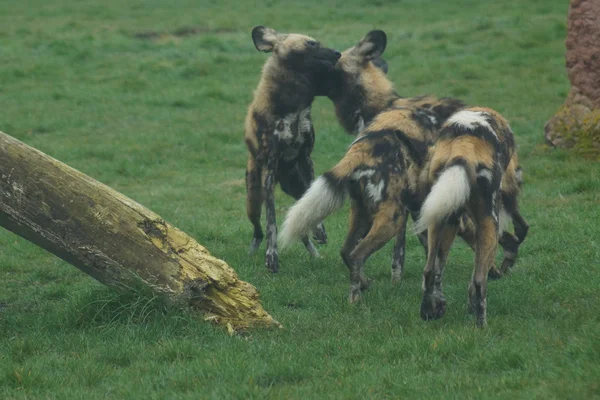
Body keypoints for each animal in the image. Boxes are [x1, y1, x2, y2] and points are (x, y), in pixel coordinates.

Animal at [243, 26, 338, 274]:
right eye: (311, 44)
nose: (337, 53)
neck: (293, 102)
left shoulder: (306, 159)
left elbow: (311, 208)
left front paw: (320, 230)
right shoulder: (269, 169)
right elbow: (271, 224)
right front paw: (271, 257)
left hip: (295, 187)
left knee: (301, 222)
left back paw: (315, 253)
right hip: (254, 198)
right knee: (257, 231)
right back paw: (253, 251)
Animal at [414, 108, 528, 326]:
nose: (519, 179)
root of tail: (463, 145)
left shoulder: (451, 220)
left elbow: (438, 270)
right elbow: (476, 275)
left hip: (437, 220)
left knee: (430, 271)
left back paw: (429, 311)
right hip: (489, 225)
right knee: (479, 281)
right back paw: (481, 325)